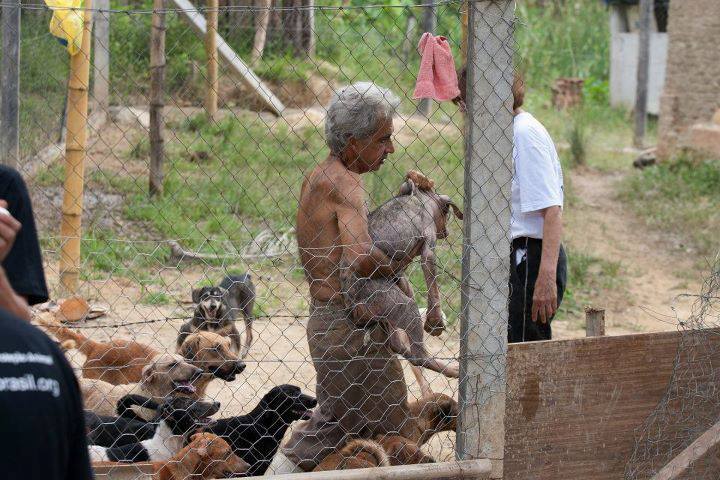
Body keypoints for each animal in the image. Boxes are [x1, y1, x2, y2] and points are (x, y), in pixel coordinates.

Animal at [342, 171, 462, 392]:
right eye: (447, 215)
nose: (447, 232)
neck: (419, 197)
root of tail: (351, 304)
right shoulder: (428, 249)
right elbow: (433, 288)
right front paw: (435, 320)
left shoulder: (398, 274)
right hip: (400, 305)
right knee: (418, 357)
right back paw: (450, 369)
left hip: (386, 317)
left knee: (398, 346)